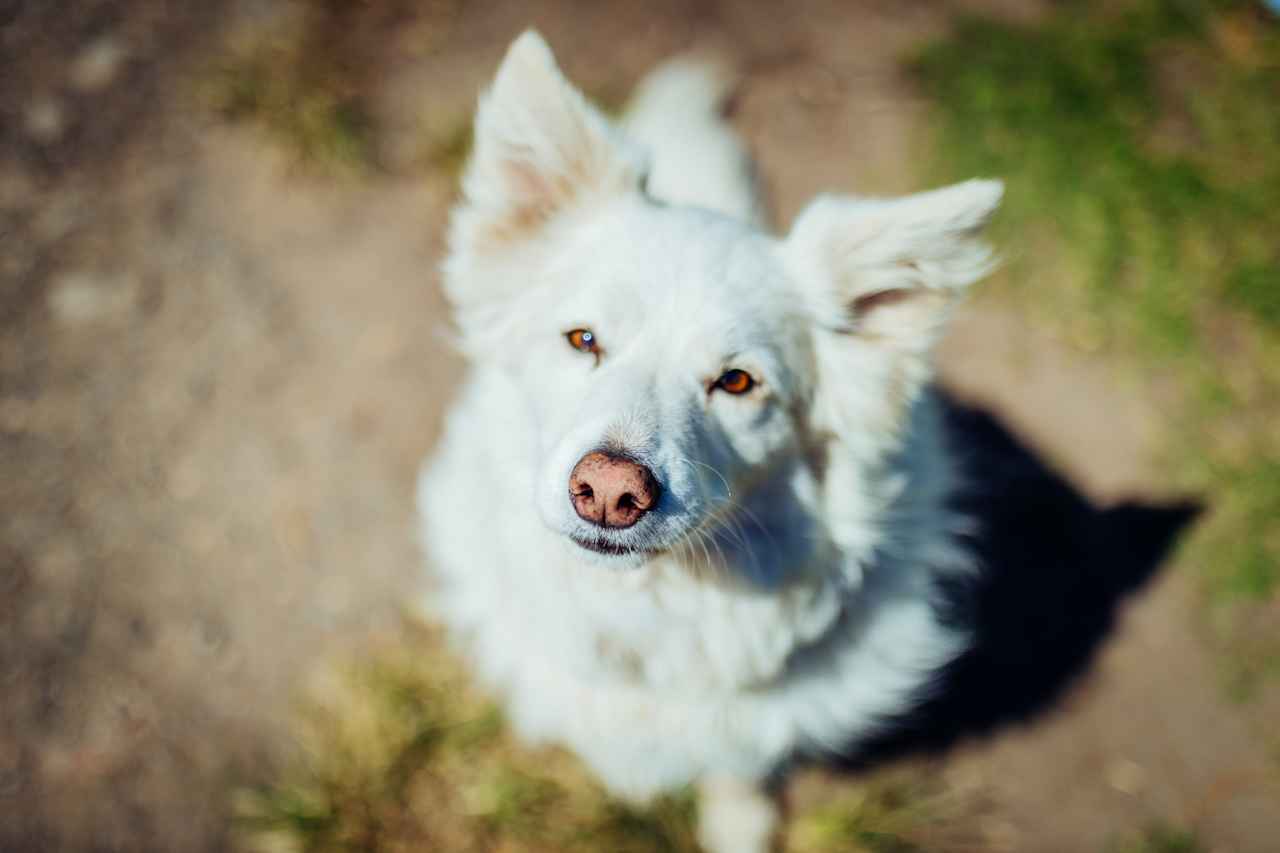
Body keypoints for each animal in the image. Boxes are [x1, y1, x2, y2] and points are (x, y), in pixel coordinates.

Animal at [417, 29, 998, 845]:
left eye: (738, 382)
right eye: (582, 339)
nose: (609, 492)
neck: (647, 610)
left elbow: (739, 769)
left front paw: (739, 825)